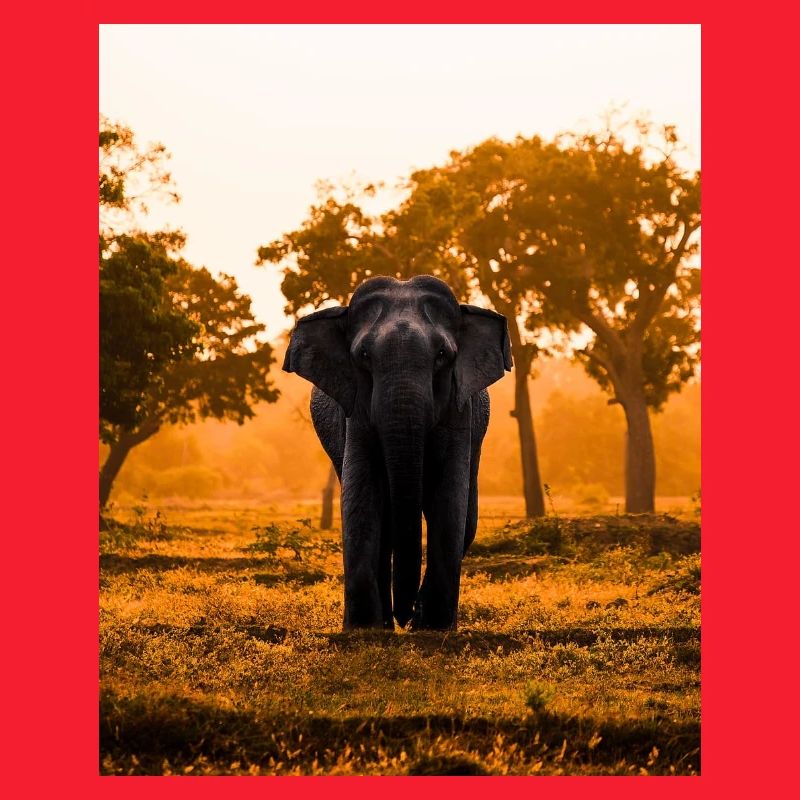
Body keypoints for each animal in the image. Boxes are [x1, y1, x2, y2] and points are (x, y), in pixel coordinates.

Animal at [283, 275, 512, 630]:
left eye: (442, 354)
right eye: (363, 355)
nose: (405, 615)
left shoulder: (461, 412)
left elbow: (450, 499)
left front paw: (432, 627)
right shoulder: (355, 415)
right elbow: (361, 495)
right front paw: (364, 629)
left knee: (466, 518)